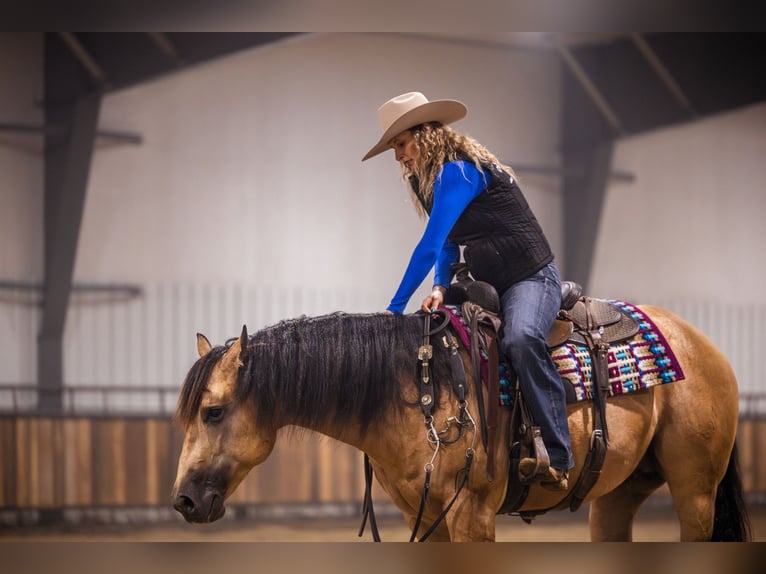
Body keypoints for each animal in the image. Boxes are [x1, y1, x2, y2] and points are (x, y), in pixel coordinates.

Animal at [171, 305, 751, 541]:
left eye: (213, 411)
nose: (183, 501)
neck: (417, 391)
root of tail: (704, 347)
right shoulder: (423, 517)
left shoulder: (472, 515)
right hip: (616, 498)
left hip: (695, 492)